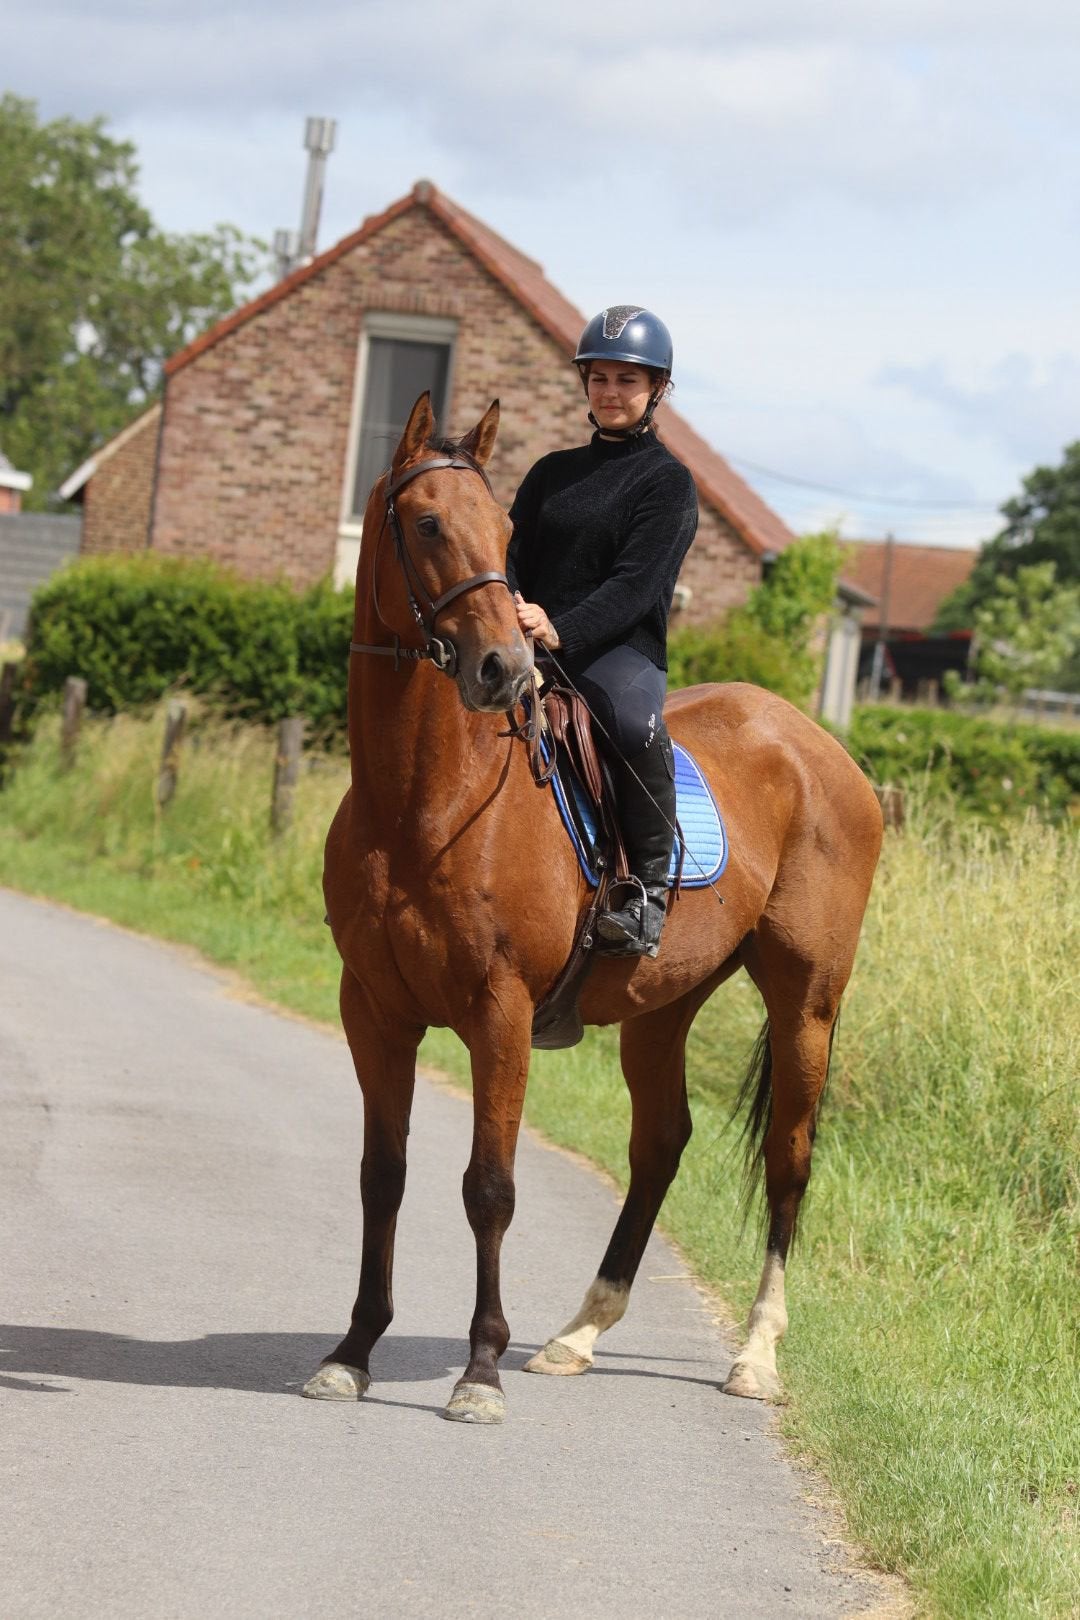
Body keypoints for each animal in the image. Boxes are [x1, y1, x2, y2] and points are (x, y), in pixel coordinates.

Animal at [304, 392, 883, 1423]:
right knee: (660, 1146)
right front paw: (354, 1350)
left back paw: (755, 1356)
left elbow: (489, 1187)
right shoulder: (372, 1010)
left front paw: (480, 1371)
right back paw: (579, 1333)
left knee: (789, 1161)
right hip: (664, 1008)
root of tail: (821, 747)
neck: (426, 804)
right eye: (427, 525)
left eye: (502, 533)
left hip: (806, 1005)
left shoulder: (499, 1014)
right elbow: (383, 1177)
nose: (502, 667)